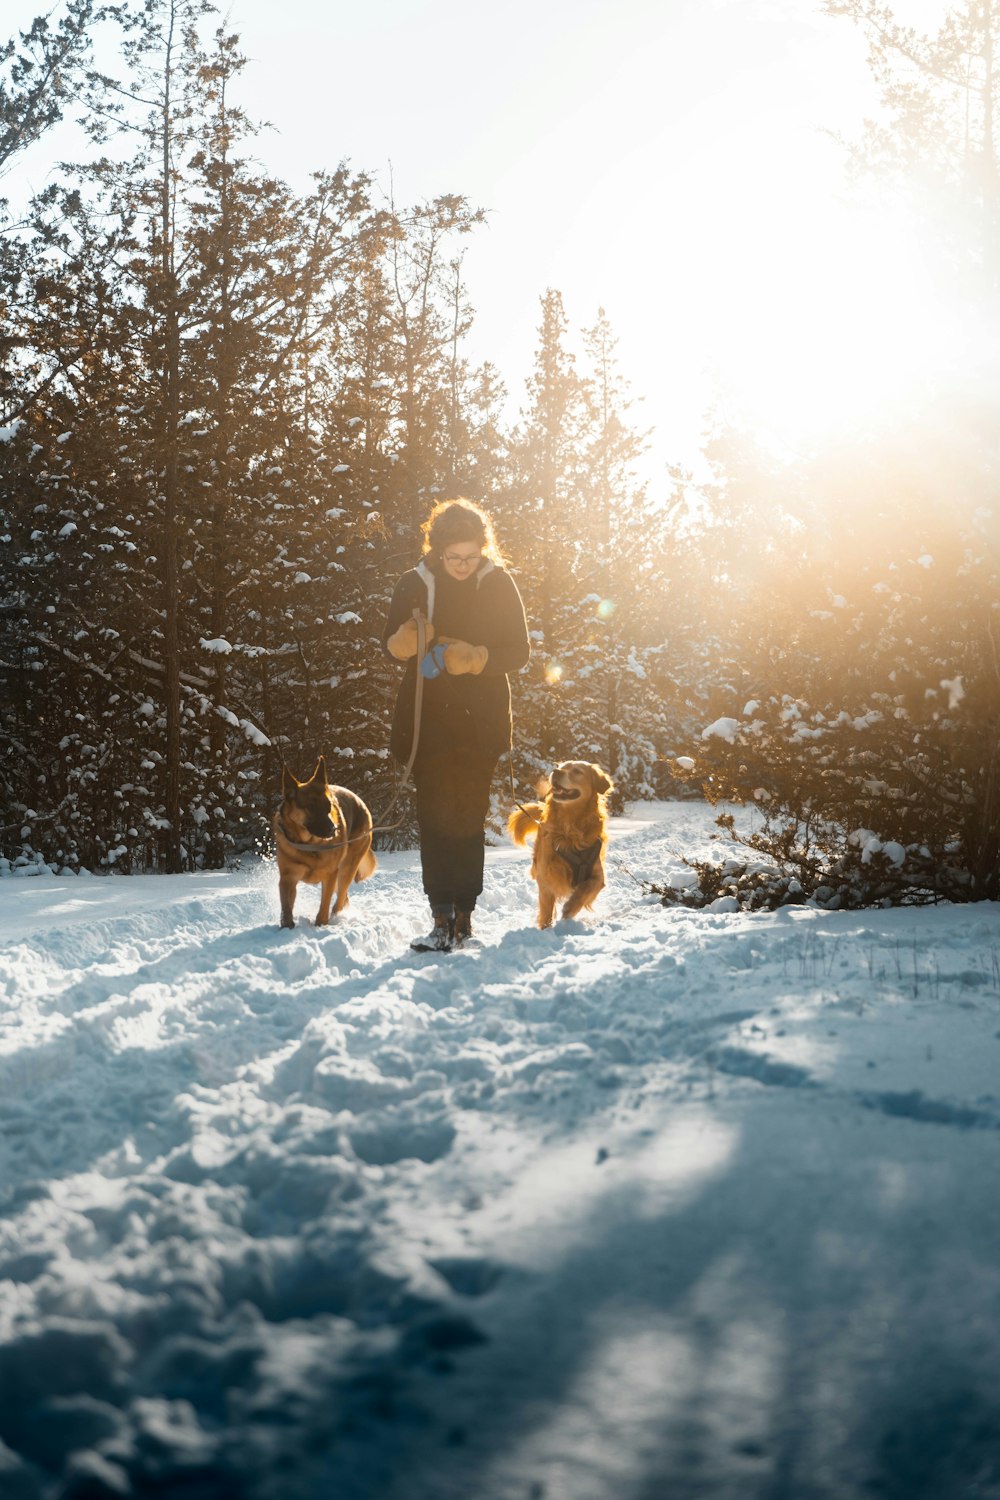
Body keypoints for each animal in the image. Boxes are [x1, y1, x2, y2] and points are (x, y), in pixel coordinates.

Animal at [274, 762, 374, 924]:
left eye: (328, 806)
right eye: (310, 807)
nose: (333, 829)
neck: (309, 846)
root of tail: (360, 801)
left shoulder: (330, 875)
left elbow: (325, 903)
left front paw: (321, 923)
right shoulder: (288, 878)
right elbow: (286, 908)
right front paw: (286, 926)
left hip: (346, 869)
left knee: (340, 897)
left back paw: (337, 916)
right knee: (344, 897)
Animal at [512, 762, 614, 924]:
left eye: (577, 771)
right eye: (561, 766)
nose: (556, 771)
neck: (570, 829)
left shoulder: (598, 875)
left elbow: (586, 888)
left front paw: (571, 907)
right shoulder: (547, 875)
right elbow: (546, 909)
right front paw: (546, 927)